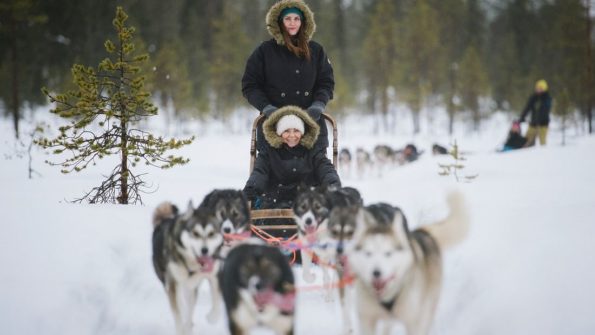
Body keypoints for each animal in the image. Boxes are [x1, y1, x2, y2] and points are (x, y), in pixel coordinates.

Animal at [152, 201, 227, 334]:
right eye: (195, 233)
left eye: (211, 234)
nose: (204, 250)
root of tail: (164, 220)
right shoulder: (173, 282)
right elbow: (178, 313)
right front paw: (181, 328)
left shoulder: (213, 275)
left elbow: (216, 301)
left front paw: (212, 317)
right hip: (169, 281)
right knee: (180, 303)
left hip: (190, 286)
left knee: (189, 306)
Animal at [350, 194, 470, 335]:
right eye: (368, 253)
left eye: (388, 253)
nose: (376, 273)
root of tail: (423, 232)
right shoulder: (367, 320)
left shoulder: (413, 322)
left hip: (427, 309)